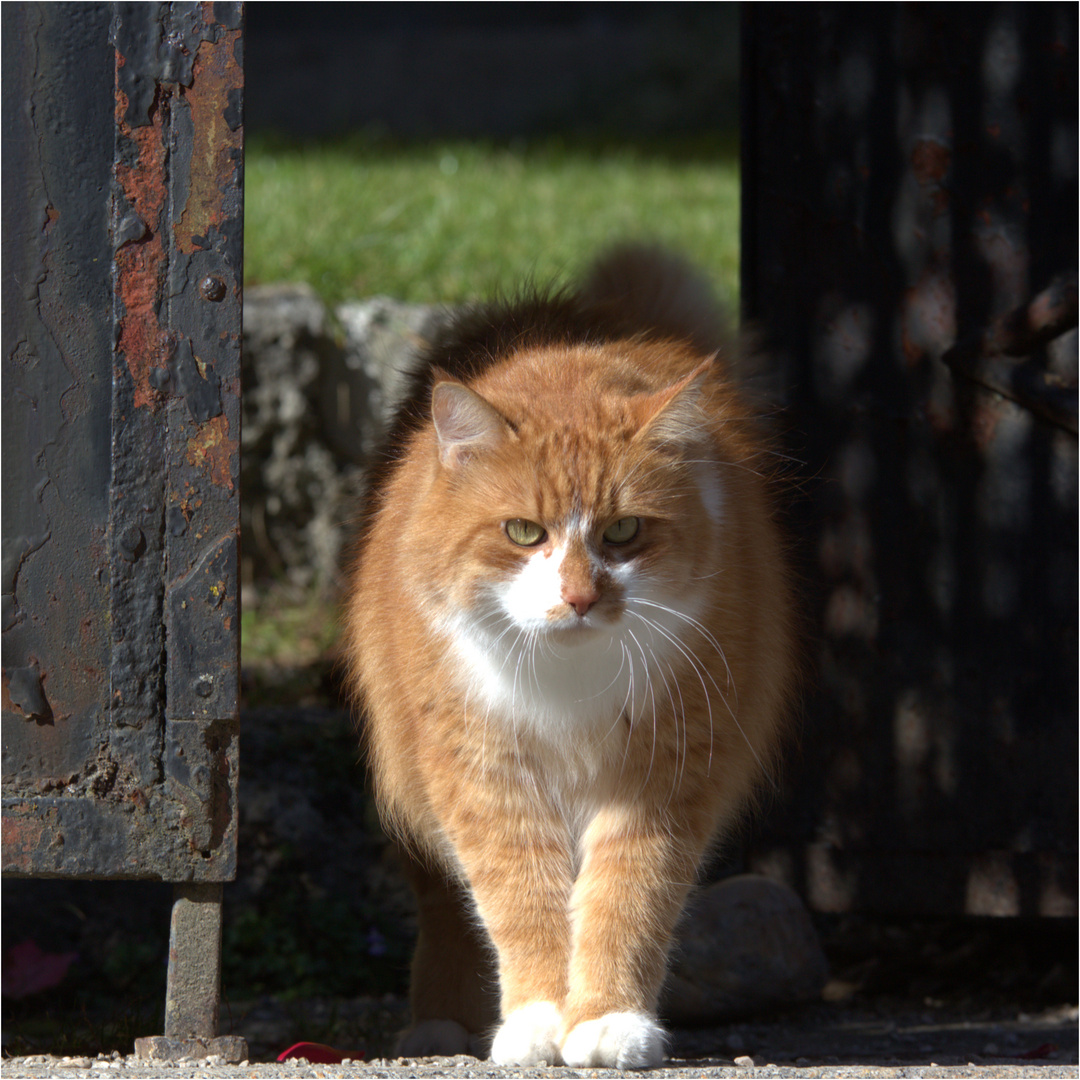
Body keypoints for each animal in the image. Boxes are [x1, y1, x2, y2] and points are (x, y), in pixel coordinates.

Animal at [341, 247, 799, 1071]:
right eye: (524, 533)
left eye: (623, 532)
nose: (581, 597)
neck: (570, 679)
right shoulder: (483, 770)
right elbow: (519, 899)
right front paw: (537, 1020)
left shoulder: (664, 772)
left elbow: (626, 896)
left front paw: (608, 1020)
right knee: (445, 910)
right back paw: (438, 1023)